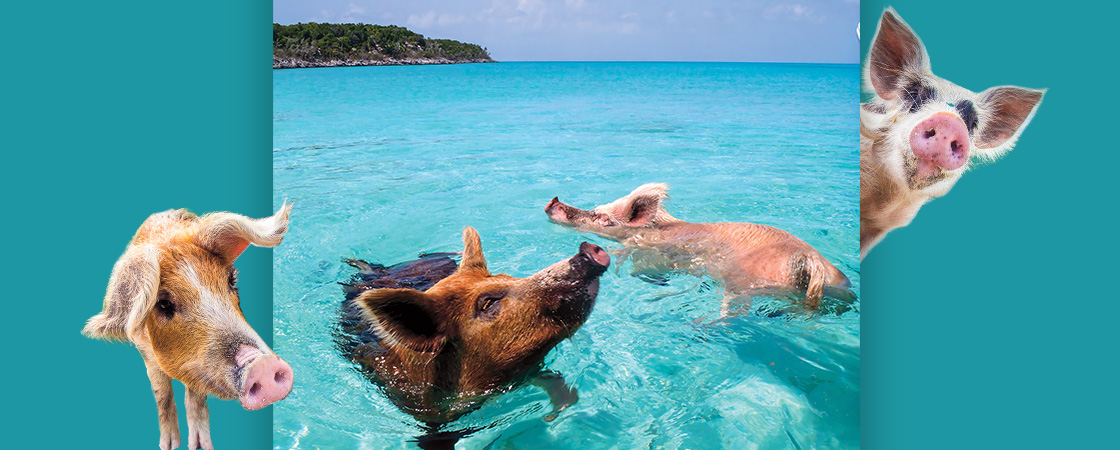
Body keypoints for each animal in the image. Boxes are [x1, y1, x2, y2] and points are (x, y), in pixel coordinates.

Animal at [82, 203, 295, 450]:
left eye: (231, 281)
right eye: (163, 304)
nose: (262, 364)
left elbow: (196, 397)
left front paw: (200, 446)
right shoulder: (146, 354)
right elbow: (162, 394)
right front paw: (169, 445)